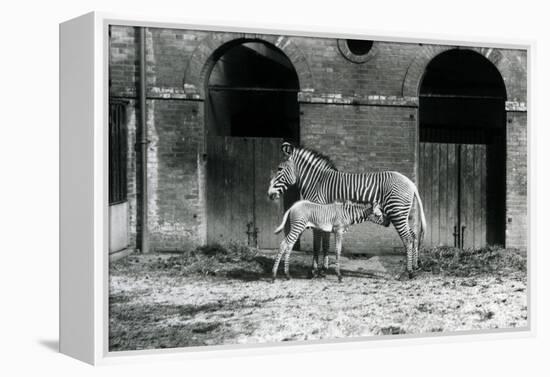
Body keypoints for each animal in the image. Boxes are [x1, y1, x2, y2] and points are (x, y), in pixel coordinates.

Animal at [270, 142, 430, 278]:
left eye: (279, 169)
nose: (270, 195)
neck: (317, 182)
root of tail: (411, 183)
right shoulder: (324, 218)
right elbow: (325, 244)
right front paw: (323, 269)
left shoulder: (319, 215)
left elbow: (317, 245)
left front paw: (314, 271)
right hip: (402, 214)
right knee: (414, 236)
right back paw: (415, 267)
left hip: (397, 212)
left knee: (408, 239)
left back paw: (409, 272)